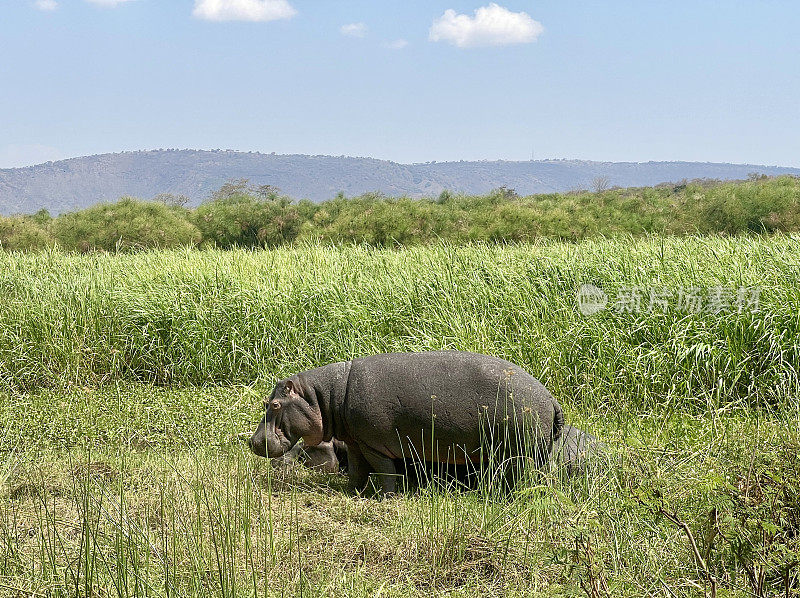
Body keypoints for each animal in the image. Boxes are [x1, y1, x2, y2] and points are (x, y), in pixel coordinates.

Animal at [248, 352, 564, 496]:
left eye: (275, 405)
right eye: (265, 402)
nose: (252, 441)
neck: (324, 396)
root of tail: (550, 396)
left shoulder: (375, 445)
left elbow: (385, 471)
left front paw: (386, 497)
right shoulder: (356, 442)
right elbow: (358, 470)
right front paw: (353, 492)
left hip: (520, 452)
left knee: (520, 476)